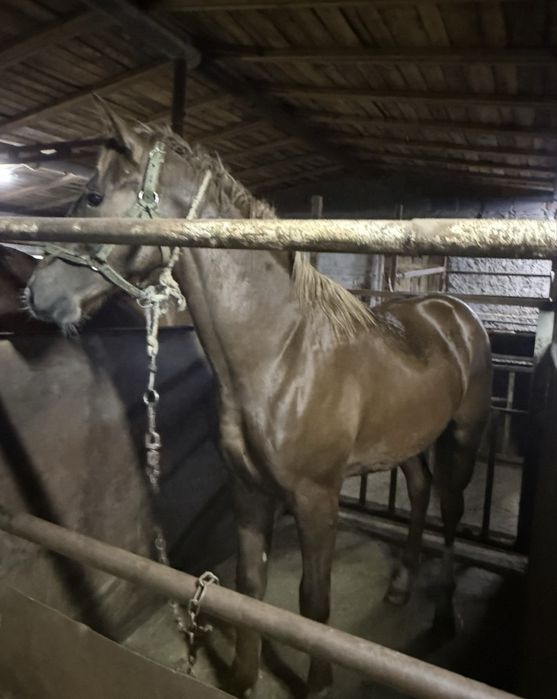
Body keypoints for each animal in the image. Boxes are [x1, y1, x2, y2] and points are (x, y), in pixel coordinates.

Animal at [25, 106, 492, 697]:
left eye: (92, 196)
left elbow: (313, 603)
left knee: (450, 510)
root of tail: (454, 311)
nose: (35, 293)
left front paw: (318, 683)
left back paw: (445, 614)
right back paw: (401, 587)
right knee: (419, 489)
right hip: (408, 441)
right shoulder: (247, 489)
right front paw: (243, 676)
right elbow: (250, 589)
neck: (282, 354)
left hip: (464, 437)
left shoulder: (317, 499)